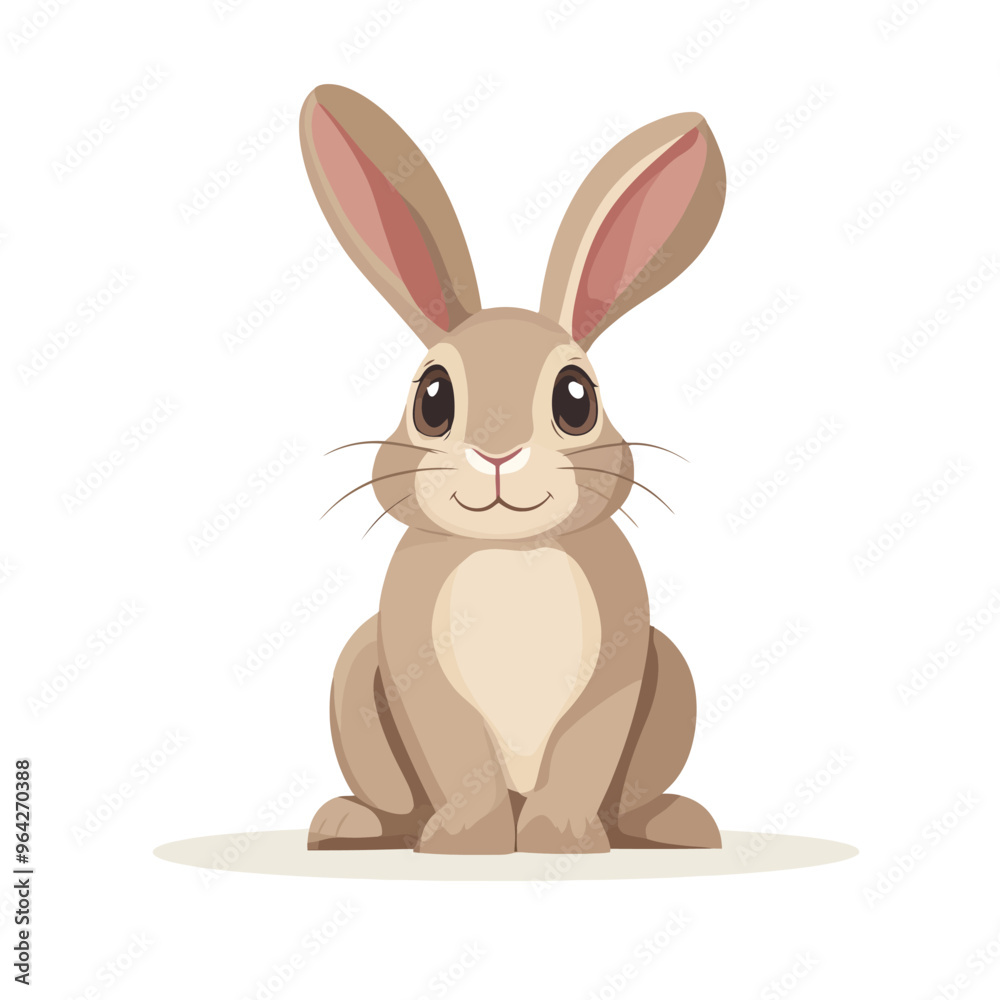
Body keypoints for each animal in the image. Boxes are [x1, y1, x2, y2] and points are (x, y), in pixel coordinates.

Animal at [300, 85, 726, 854]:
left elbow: (584, 754)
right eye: (433, 398)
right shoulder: (419, 672)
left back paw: (675, 823)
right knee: (391, 799)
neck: (510, 552)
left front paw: (561, 839)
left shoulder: (616, 670)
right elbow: (457, 758)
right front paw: (469, 843)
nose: (497, 454)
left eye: (576, 399)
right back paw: (349, 823)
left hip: (671, 677)